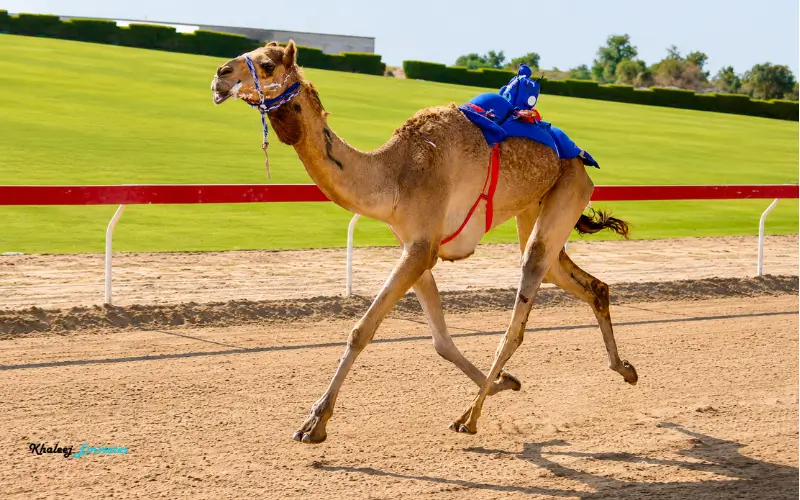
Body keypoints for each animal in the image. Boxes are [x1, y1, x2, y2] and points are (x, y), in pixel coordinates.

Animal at [210, 41, 638, 444]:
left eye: (266, 65)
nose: (219, 75)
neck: (394, 175)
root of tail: (578, 157)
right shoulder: (415, 247)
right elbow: (441, 340)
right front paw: (506, 383)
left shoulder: (421, 247)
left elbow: (362, 329)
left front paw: (314, 423)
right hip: (539, 207)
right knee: (585, 282)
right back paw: (625, 369)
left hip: (569, 190)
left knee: (522, 306)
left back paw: (470, 418)